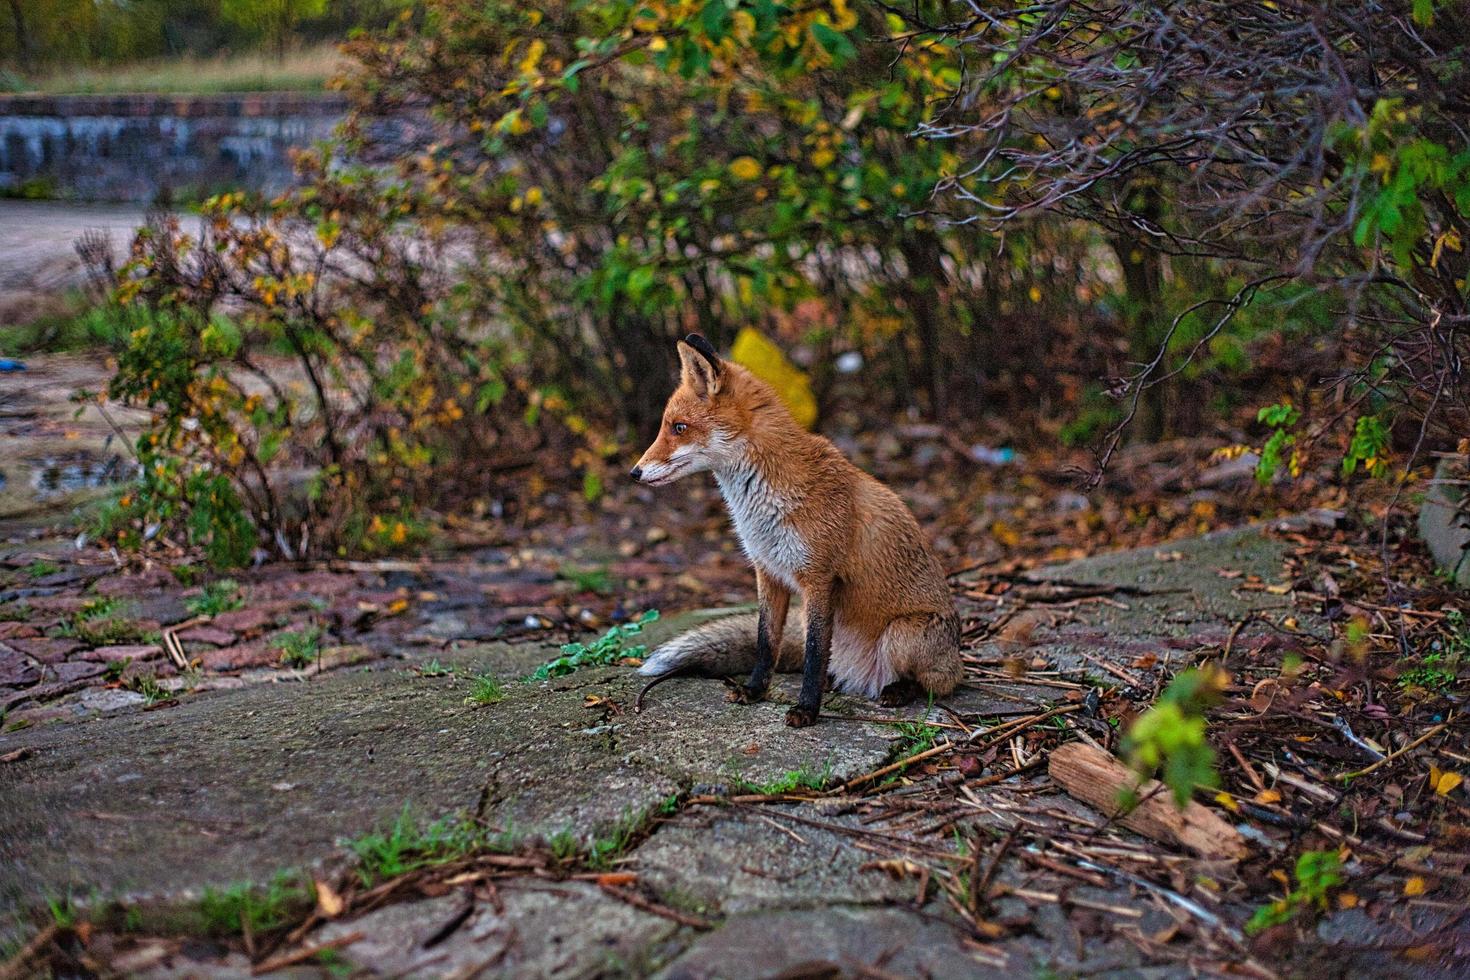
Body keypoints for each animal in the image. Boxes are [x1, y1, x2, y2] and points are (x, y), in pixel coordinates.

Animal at [632, 333, 964, 725]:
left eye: (678, 428)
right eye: (667, 426)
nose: (634, 472)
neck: (762, 505)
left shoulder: (819, 579)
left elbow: (814, 653)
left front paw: (807, 709)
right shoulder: (767, 572)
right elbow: (766, 642)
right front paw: (755, 690)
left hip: (902, 635)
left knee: (933, 684)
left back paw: (897, 690)